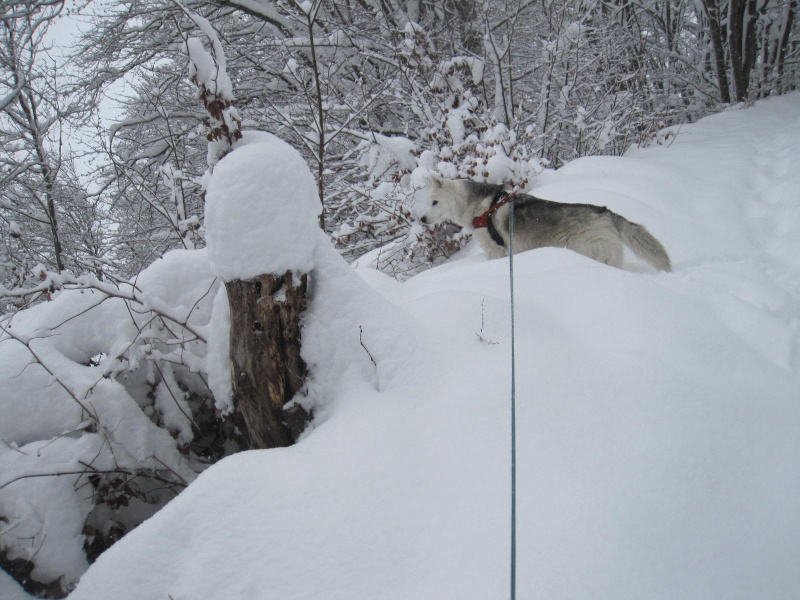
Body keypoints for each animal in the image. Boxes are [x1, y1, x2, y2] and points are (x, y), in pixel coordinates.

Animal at [416, 176, 672, 272]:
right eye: (427, 203)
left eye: (435, 202)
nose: (422, 219)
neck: (481, 206)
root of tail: (605, 212)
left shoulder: (496, 250)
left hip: (595, 253)